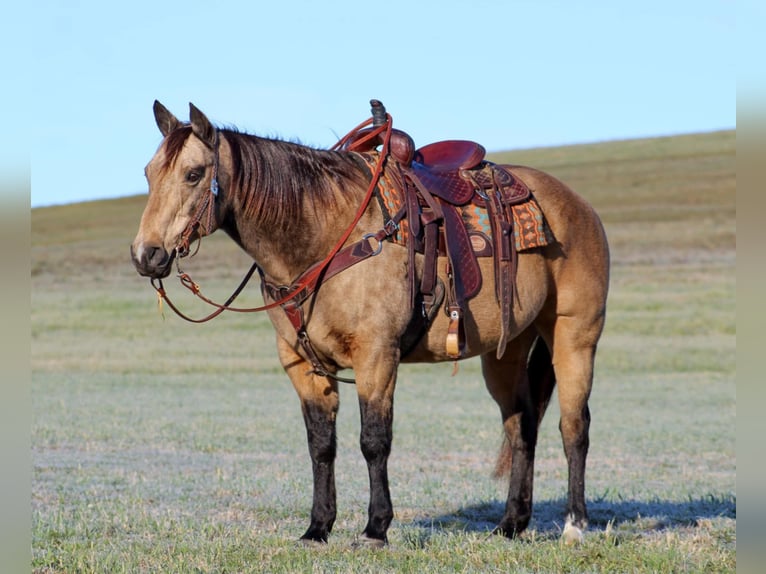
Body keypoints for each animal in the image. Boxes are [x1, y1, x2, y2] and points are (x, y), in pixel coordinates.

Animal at [132, 100, 612, 548]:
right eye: (149, 173)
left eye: (194, 174)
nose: (146, 254)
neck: (323, 235)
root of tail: (579, 206)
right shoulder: (302, 364)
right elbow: (321, 445)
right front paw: (317, 528)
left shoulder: (376, 355)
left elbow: (374, 440)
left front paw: (376, 528)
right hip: (506, 351)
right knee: (521, 425)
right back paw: (511, 523)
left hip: (574, 335)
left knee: (574, 427)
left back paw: (575, 525)